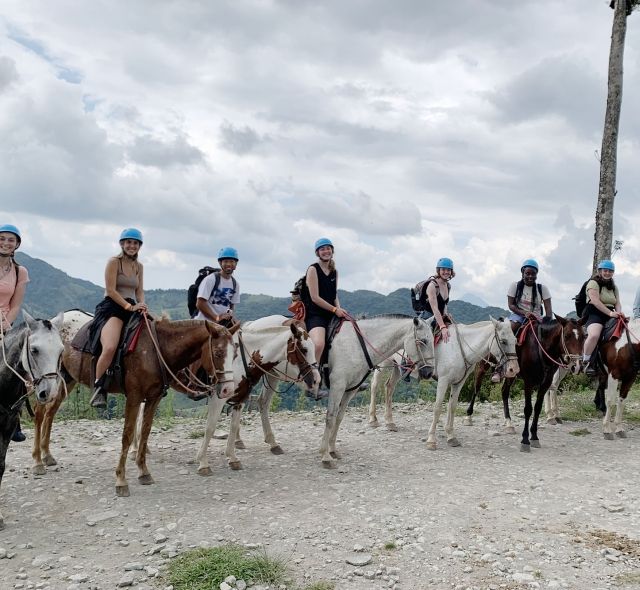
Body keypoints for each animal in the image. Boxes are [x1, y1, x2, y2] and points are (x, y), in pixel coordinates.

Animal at [61, 315, 235, 496]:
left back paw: (48, 459)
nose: (228, 390)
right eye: (218, 353)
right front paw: (121, 480)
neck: (156, 350)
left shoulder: (153, 398)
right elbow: (127, 435)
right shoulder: (134, 397)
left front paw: (144, 472)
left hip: (66, 379)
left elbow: (145, 432)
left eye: (235, 354)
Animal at [191, 315, 321, 474]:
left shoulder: (241, 397)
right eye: (304, 349)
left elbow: (233, 425)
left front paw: (232, 458)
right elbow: (210, 427)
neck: (240, 360)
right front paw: (203, 462)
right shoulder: (218, 398)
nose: (316, 380)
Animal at [464, 316, 584, 452]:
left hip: (511, 373)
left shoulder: (545, 383)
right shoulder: (528, 382)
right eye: (567, 335)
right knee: (476, 388)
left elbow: (537, 408)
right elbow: (528, 409)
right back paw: (468, 417)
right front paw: (525, 440)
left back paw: (509, 423)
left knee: (504, 392)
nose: (577, 366)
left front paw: (535, 437)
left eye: (584, 336)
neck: (540, 347)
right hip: (482, 366)